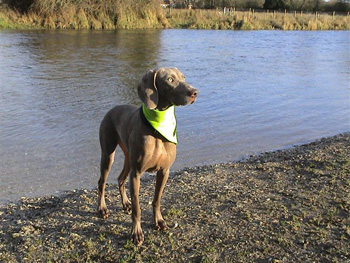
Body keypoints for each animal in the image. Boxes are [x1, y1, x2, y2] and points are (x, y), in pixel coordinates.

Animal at [97, 67, 198, 245]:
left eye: (184, 77)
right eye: (170, 80)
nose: (194, 92)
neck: (157, 128)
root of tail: (112, 109)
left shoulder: (164, 171)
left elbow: (156, 200)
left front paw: (159, 221)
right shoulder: (136, 173)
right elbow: (138, 208)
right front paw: (136, 233)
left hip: (128, 157)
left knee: (120, 178)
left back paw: (125, 203)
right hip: (108, 153)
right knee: (101, 182)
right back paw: (102, 208)